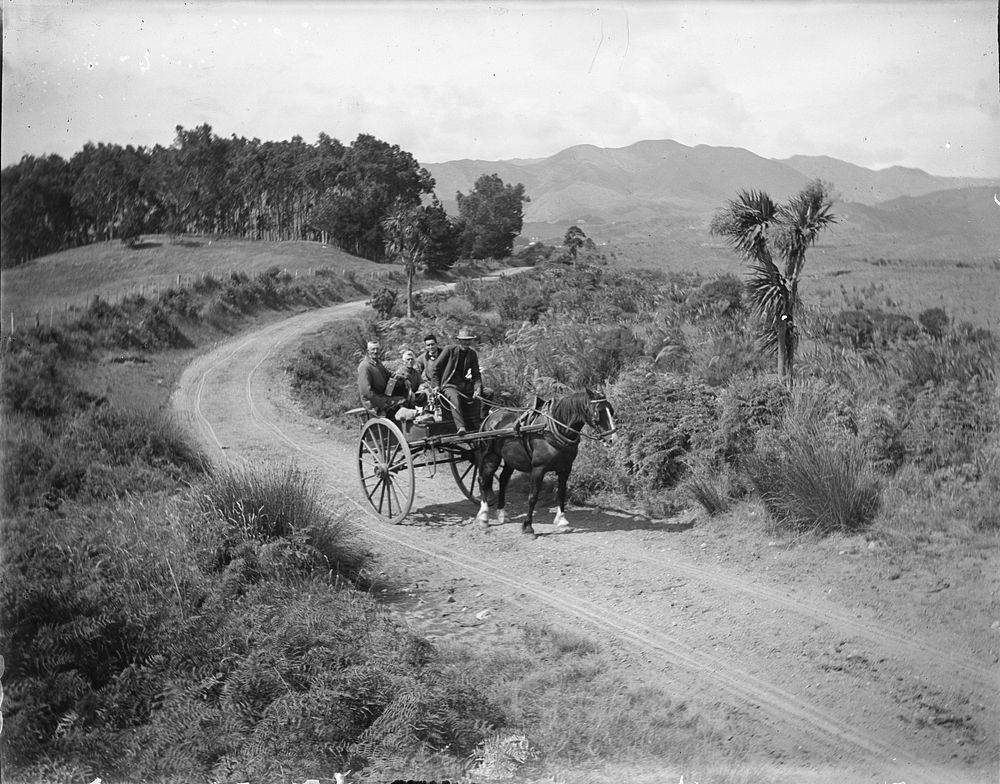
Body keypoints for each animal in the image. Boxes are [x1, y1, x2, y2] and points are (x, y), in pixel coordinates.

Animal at [472, 388, 612, 536]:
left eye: (611, 411)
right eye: (598, 413)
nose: (611, 439)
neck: (551, 429)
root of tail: (491, 415)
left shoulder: (566, 468)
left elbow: (561, 494)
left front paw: (562, 522)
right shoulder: (538, 469)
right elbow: (533, 497)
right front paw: (528, 527)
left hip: (511, 459)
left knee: (503, 480)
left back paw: (502, 513)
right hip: (490, 456)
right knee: (483, 480)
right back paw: (484, 517)